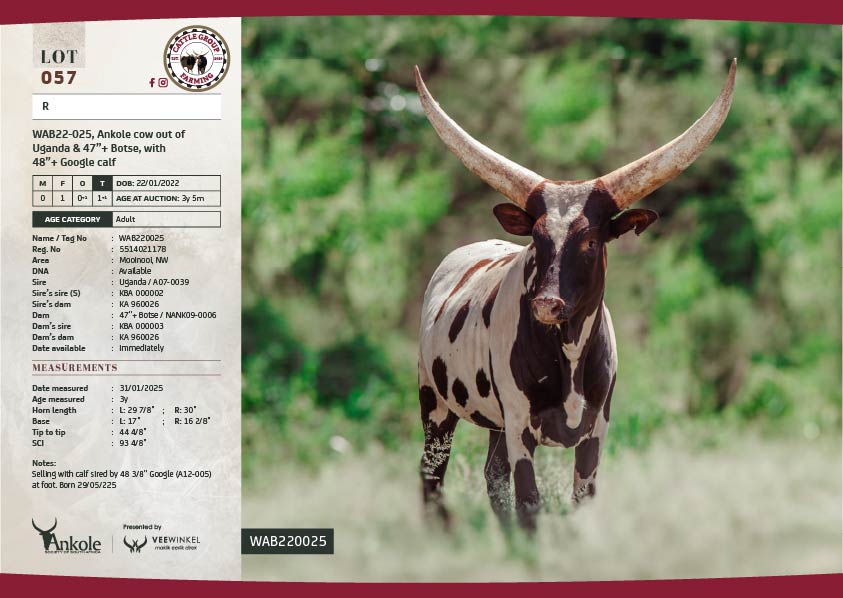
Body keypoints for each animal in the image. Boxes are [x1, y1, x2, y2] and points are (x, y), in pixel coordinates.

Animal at [415, 60, 736, 531]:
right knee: (431, 477)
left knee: (492, 477)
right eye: (536, 237)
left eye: (590, 241)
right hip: (434, 403)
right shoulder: (520, 426)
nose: (547, 304)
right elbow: (530, 502)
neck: (567, 350)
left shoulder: (597, 429)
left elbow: (580, 500)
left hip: (491, 425)